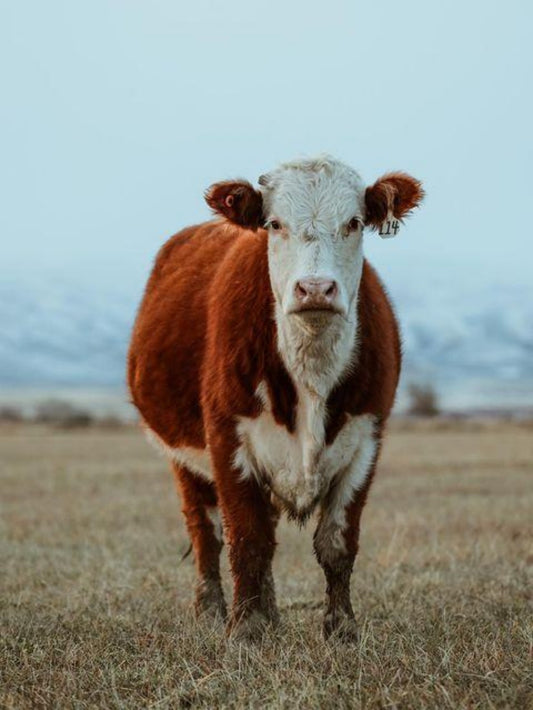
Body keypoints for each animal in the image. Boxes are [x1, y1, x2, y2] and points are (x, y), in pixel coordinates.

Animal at [127, 155, 424, 642]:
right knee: (207, 531)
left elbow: (337, 543)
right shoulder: (227, 439)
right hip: (181, 456)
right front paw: (245, 630)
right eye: (274, 223)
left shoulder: (366, 441)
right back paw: (212, 610)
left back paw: (271, 614)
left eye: (354, 222)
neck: (311, 373)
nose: (316, 288)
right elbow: (247, 539)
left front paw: (341, 628)